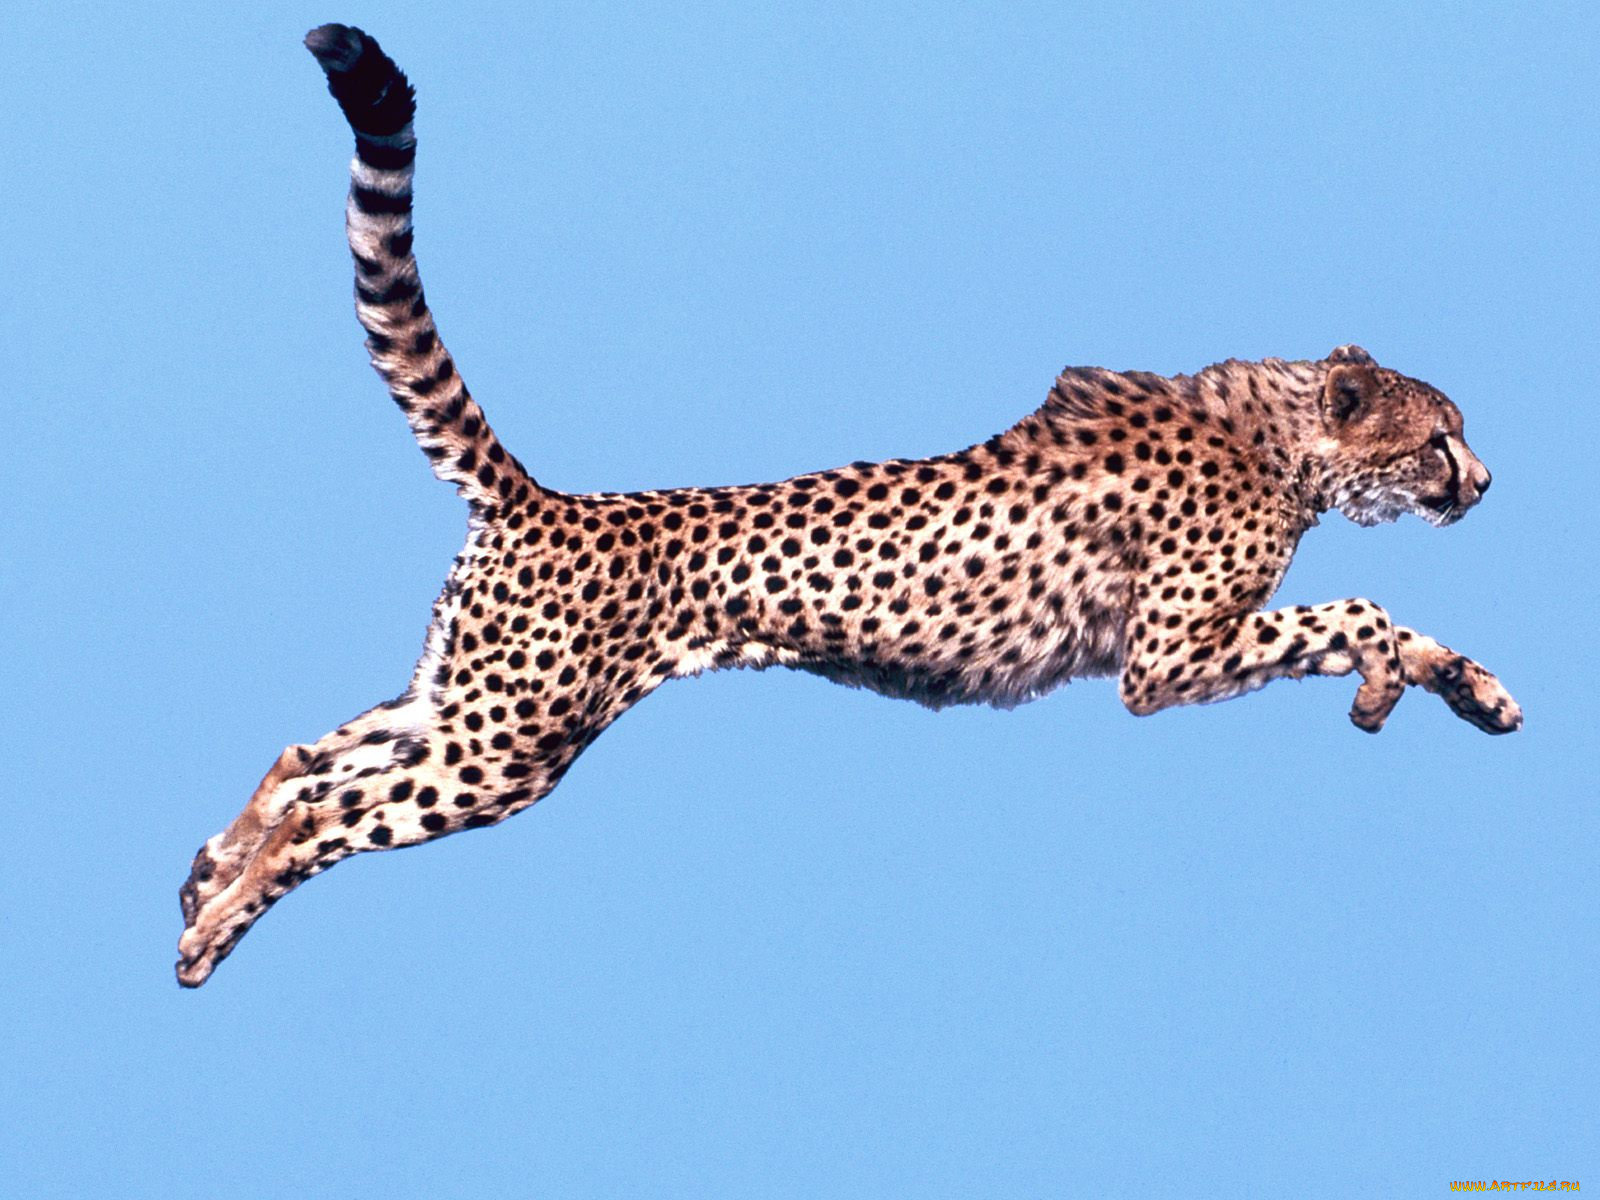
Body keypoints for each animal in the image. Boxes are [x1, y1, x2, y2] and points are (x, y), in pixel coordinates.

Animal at [175, 24, 1522, 987]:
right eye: (1439, 438)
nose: (1485, 482)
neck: (1282, 436)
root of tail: (547, 499)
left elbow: (1387, 624)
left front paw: (1468, 691)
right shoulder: (1168, 657)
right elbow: (1357, 607)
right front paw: (1396, 677)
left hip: (470, 703)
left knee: (309, 756)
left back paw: (206, 871)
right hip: (507, 743)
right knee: (332, 806)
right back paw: (216, 922)